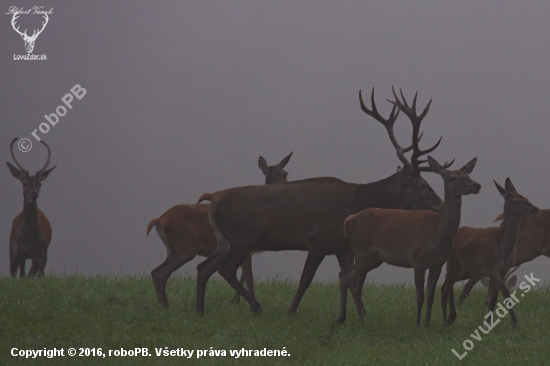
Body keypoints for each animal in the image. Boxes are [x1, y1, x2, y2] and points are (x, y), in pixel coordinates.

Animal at [7, 137, 56, 278]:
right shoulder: (19, 250)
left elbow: (40, 275)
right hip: (11, 250)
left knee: (31, 273)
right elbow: (22, 276)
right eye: (24, 183)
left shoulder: (43, 250)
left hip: (34, 257)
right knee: (14, 273)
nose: (33, 194)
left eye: (39, 184)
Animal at [147, 152, 294, 308]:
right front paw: (245, 302)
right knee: (158, 272)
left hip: (171, 248)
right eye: (285, 173)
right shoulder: (247, 249)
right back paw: (165, 306)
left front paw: (235, 300)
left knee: (161, 273)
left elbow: (243, 276)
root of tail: (159, 219)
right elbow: (249, 279)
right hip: (185, 247)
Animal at [196, 87, 454, 316]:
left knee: (204, 268)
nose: (441, 206)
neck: (357, 201)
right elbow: (306, 279)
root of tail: (215, 200)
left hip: (226, 241)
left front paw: (361, 313)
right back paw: (255, 305)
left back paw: (200, 309)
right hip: (243, 238)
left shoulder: (342, 246)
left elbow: (350, 280)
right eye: (423, 185)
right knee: (226, 269)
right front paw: (291, 310)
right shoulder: (319, 240)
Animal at [342, 157, 480, 326]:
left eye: (468, 176)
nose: (476, 185)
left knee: (345, 275)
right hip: (361, 251)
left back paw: (343, 318)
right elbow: (420, 296)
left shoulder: (438, 264)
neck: (437, 233)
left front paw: (427, 324)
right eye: (453, 177)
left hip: (373, 258)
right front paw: (418, 324)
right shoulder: (418, 259)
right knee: (356, 287)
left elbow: (430, 296)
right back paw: (362, 320)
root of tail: (348, 221)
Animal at [442, 179, 540, 324]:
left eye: (526, 198)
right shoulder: (492, 269)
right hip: (454, 262)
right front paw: (514, 322)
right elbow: (505, 292)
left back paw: (451, 315)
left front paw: (488, 322)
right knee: (447, 283)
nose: (535, 209)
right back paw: (450, 316)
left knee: (449, 282)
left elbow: (493, 300)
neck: (502, 249)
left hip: (468, 269)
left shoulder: (503, 271)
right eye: (517, 201)